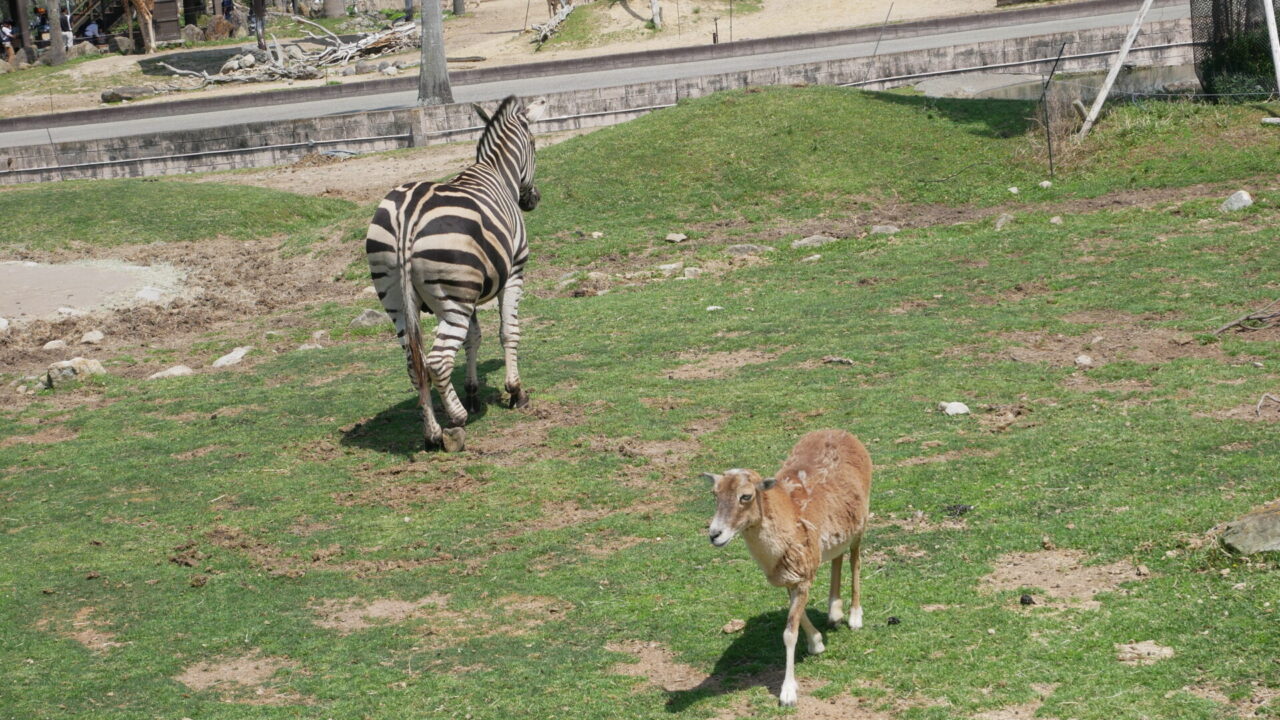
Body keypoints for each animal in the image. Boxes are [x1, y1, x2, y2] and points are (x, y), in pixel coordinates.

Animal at [368, 94, 552, 448]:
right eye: (535, 145)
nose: (533, 200)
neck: (497, 172)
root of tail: (407, 216)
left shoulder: (474, 289)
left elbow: (474, 338)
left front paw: (472, 392)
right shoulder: (513, 272)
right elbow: (508, 331)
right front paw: (515, 392)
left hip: (398, 298)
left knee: (414, 363)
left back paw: (432, 433)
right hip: (454, 300)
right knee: (437, 361)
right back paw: (456, 420)